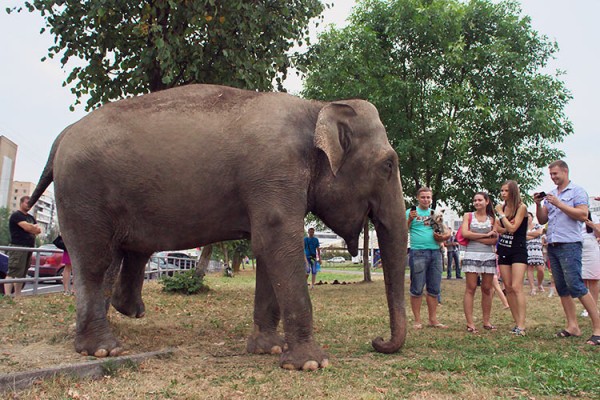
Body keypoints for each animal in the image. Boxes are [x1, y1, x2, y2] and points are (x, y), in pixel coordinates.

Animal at [30, 83, 410, 370]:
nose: (377, 341)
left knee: (115, 255)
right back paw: (103, 350)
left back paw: (115, 322)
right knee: (95, 259)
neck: (315, 109)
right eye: (389, 164)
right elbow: (277, 242)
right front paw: (312, 363)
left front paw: (268, 348)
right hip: (83, 192)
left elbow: (264, 247)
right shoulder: (275, 170)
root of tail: (62, 136)